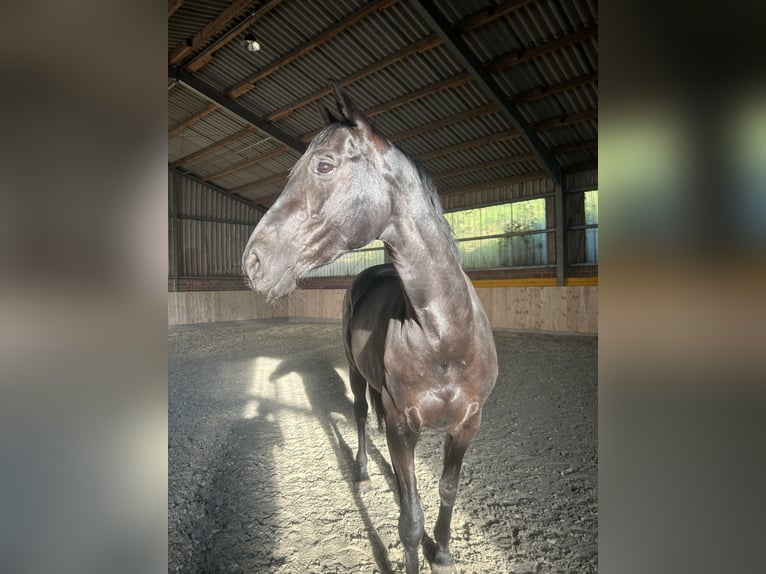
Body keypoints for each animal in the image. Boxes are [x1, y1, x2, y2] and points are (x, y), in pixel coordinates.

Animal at [242, 82, 498, 574]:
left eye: (323, 165)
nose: (253, 262)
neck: (443, 338)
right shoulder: (400, 426)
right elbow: (410, 521)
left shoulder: (468, 425)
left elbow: (446, 490)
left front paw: (443, 553)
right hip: (357, 375)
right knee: (361, 416)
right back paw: (361, 472)